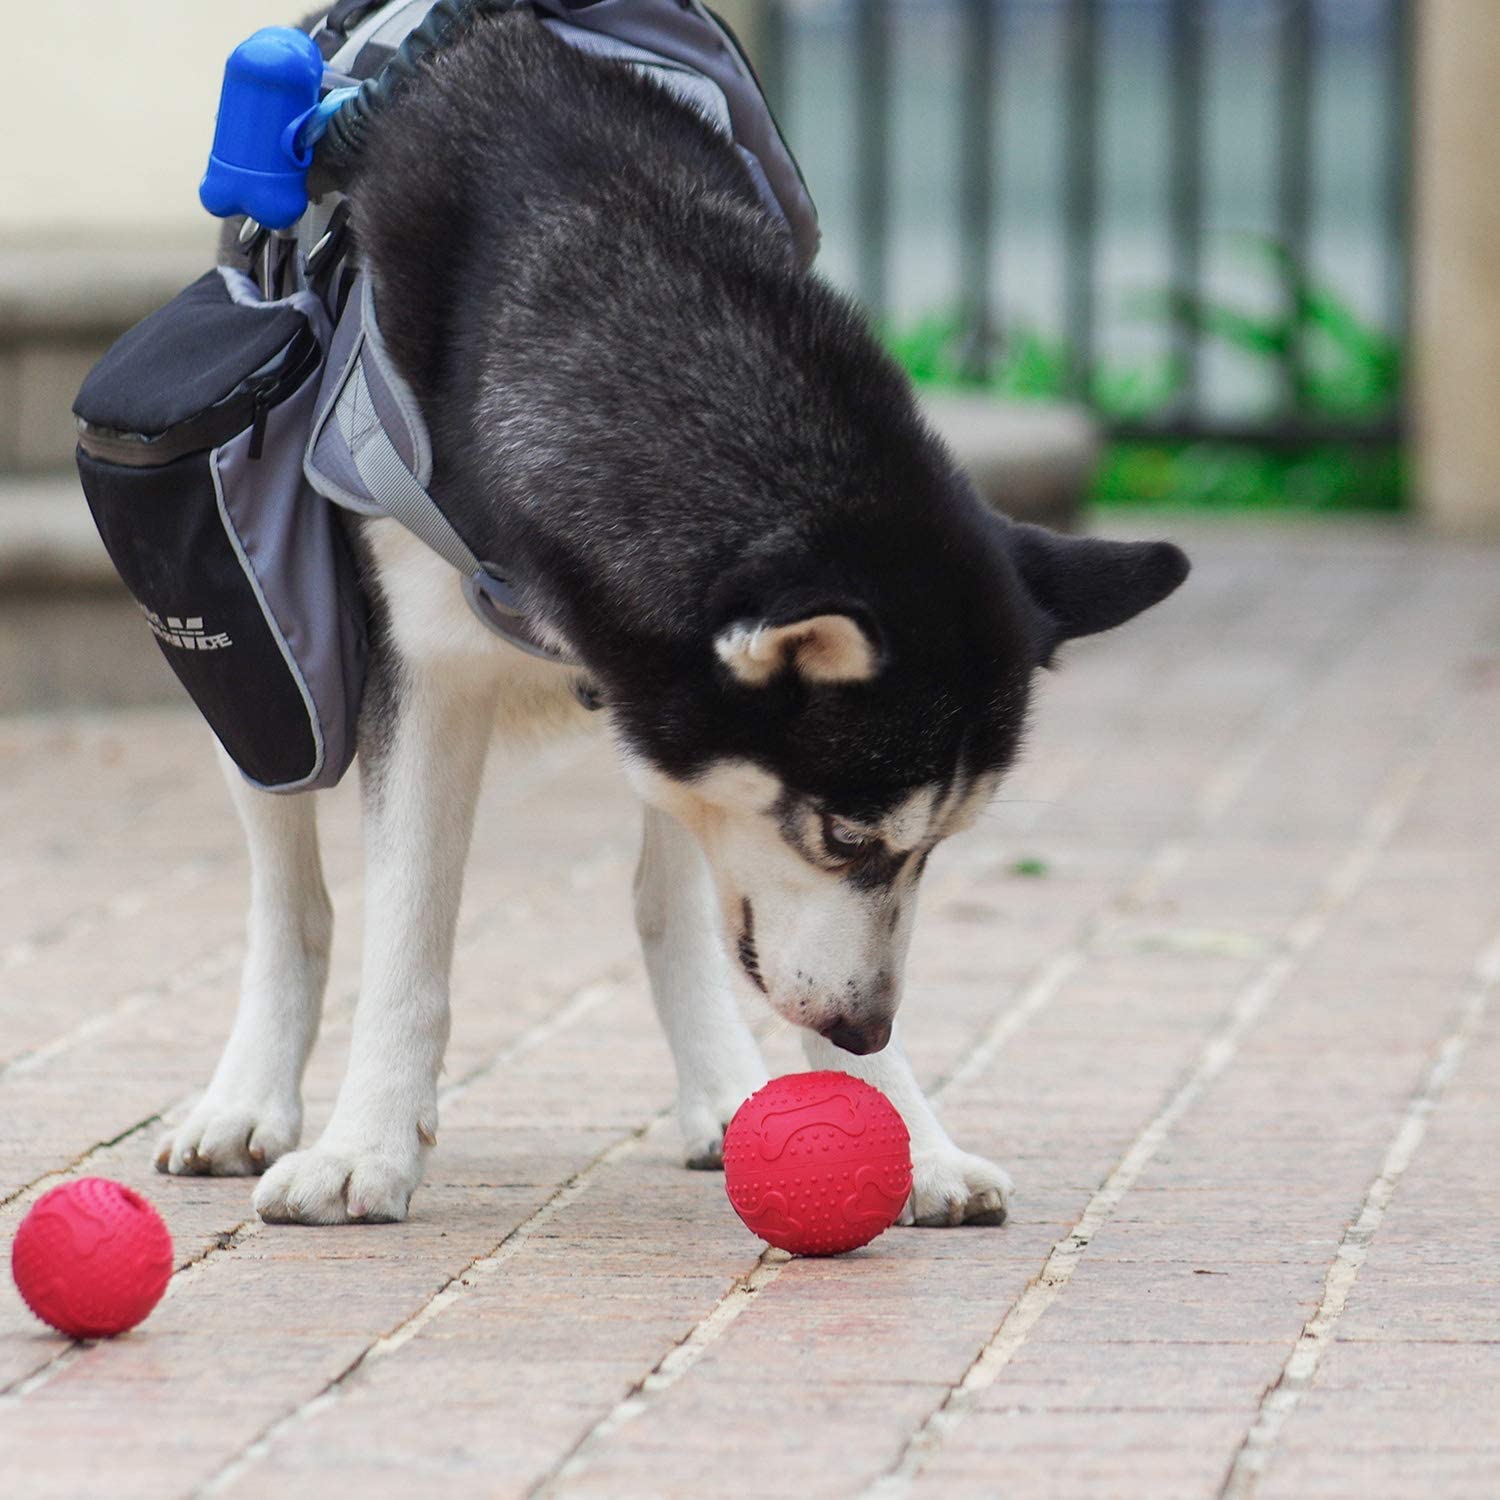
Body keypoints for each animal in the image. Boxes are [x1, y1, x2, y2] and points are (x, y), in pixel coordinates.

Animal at [152, 14, 1182, 1230]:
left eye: (937, 847)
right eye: (848, 837)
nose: (869, 1025)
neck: (611, 254)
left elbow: (740, 934)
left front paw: (907, 1132)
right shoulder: (424, 670)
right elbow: (405, 941)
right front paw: (367, 1149)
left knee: (669, 904)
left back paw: (727, 1090)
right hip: (270, 681)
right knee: (292, 893)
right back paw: (246, 1101)